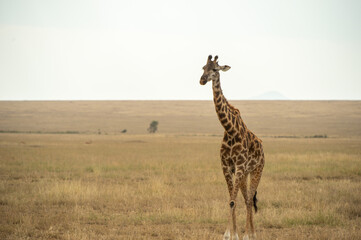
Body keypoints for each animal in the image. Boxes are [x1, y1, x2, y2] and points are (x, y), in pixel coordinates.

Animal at [198, 54, 262, 240]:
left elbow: (233, 201)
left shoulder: (238, 166)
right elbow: (231, 199)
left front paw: (234, 234)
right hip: (245, 173)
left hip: (256, 170)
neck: (230, 129)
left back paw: (251, 234)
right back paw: (250, 232)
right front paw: (232, 234)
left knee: (249, 199)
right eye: (203, 67)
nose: (202, 80)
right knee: (247, 199)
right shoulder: (227, 166)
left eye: (214, 69)